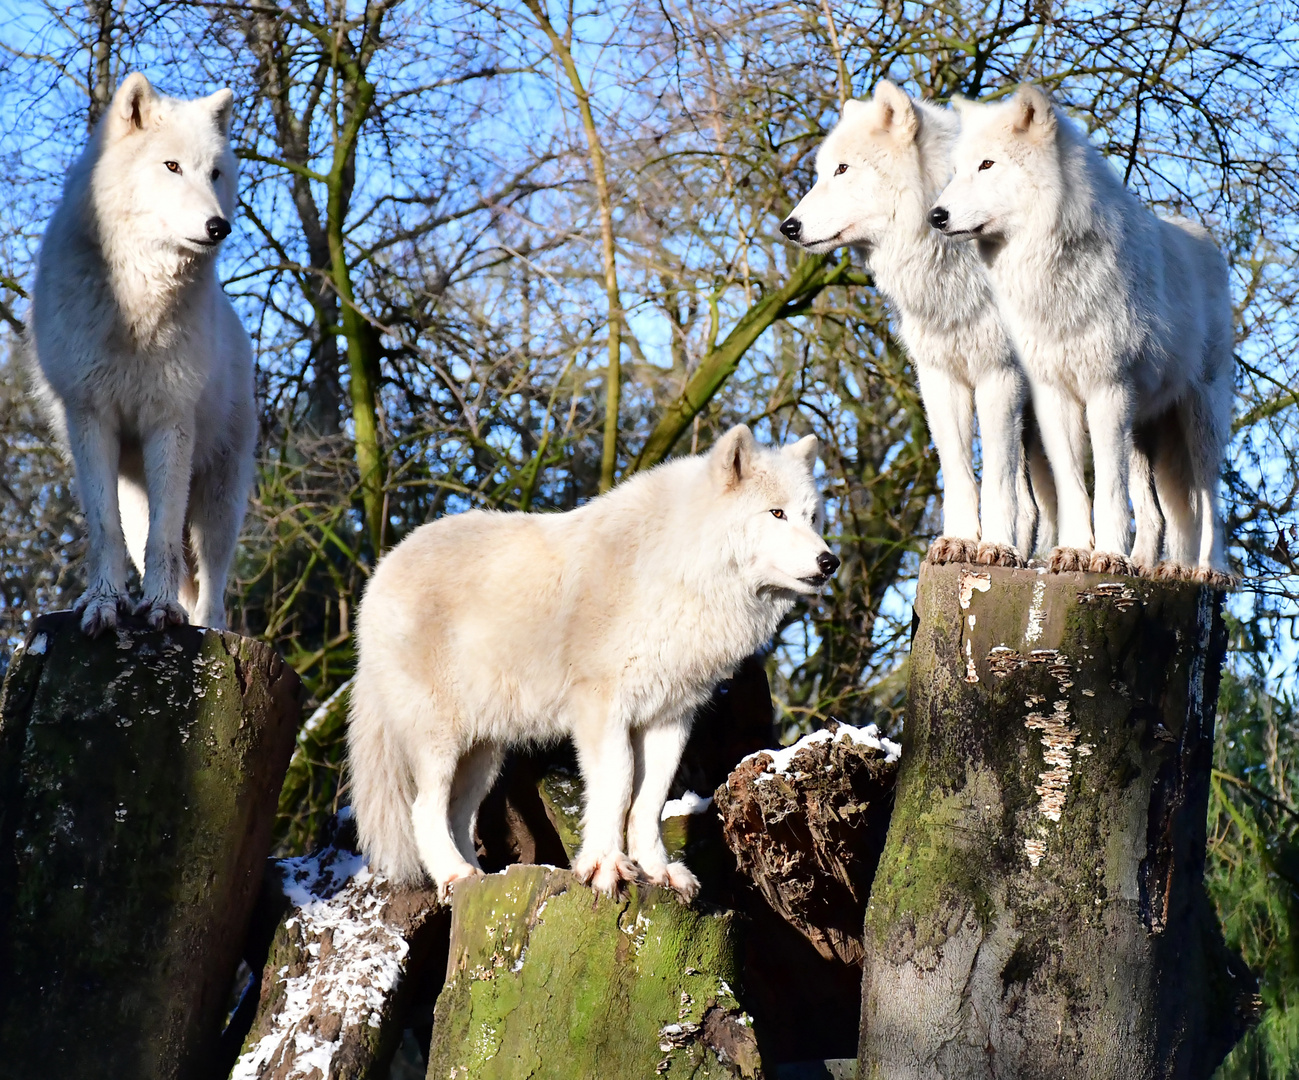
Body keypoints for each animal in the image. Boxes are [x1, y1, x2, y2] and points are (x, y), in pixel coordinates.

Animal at [28, 74, 255, 634]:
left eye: (215, 173)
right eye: (171, 166)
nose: (219, 226)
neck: (136, 303)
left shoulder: (170, 420)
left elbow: (166, 537)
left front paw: (159, 609)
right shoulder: (90, 416)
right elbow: (103, 529)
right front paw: (104, 604)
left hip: (221, 494)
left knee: (211, 581)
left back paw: (206, 627)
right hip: (136, 495)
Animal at [345, 426, 836, 899]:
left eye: (812, 517)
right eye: (776, 514)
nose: (829, 561)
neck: (679, 573)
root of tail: (383, 568)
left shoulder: (669, 718)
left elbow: (650, 800)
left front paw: (657, 871)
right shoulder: (603, 710)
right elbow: (617, 785)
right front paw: (605, 867)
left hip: (484, 754)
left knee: (459, 814)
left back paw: (476, 879)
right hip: (441, 740)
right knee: (424, 809)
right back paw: (454, 873)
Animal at [774, 81, 1049, 569]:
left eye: (842, 169)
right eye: (822, 172)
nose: (788, 226)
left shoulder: (1000, 374)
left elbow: (995, 478)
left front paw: (995, 548)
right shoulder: (938, 377)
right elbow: (958, 472)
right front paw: (960, 542)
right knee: (1036, 505)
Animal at [930, 87, 1231, 587]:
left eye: (987, 165)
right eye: (956, 170)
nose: (935, 215)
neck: (1050, 275)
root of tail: (1205, 238)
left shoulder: (1107, 390)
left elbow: (1106, 488)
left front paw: (1106, 555)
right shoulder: (1052, 393)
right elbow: (1073, 486)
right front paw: (1074, 551)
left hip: (1198, 419)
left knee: (1208, 498)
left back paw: (1208, 569)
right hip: (1145, 429)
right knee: (1161, 512)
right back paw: (1156, 568)